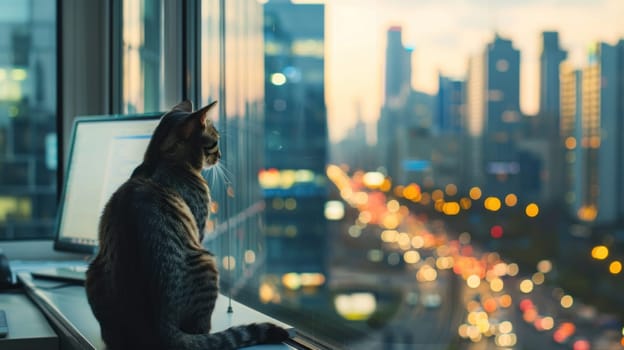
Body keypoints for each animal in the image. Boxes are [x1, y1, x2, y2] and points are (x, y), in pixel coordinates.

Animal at [86, 100, 290, 348]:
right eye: (215, 142)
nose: (221, 155)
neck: (159, 160)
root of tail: (159, 328)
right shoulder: (199, 227)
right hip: (206, 261)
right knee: (200, 328)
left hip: (93, 272)